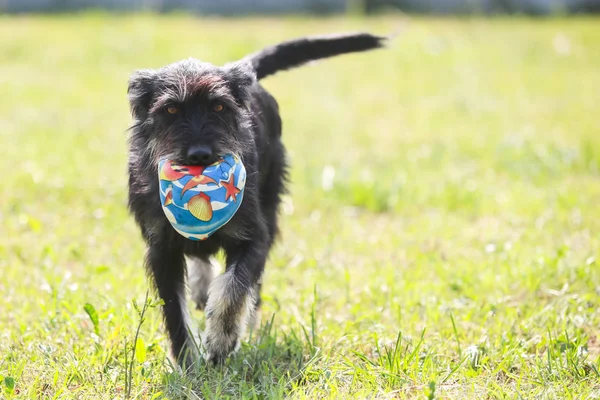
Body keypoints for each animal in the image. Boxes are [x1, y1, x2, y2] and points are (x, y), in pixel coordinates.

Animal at [127, 32, 384, 368]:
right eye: (170, 110)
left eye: (219, 107)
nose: (200, 155)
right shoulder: (162, 249)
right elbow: (174, 311)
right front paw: (188, 362)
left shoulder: (253, 238)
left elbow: (235, 289)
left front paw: (221, 342)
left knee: (250, 285)